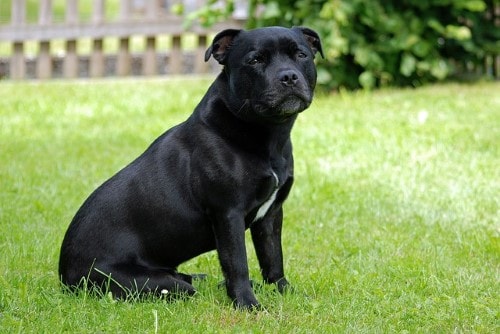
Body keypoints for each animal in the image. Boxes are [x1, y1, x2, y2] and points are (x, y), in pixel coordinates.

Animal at [59, 25, 324, 308]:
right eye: (255, 60)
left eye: (301, 54)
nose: (288, 76)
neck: (268, 133)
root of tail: (65, 275)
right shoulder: (227, 213)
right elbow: (237, 263)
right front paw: (247, 304)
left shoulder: (271, 214)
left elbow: (273, 258)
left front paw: (284, 291)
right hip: (153, 283)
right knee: (183, 287)